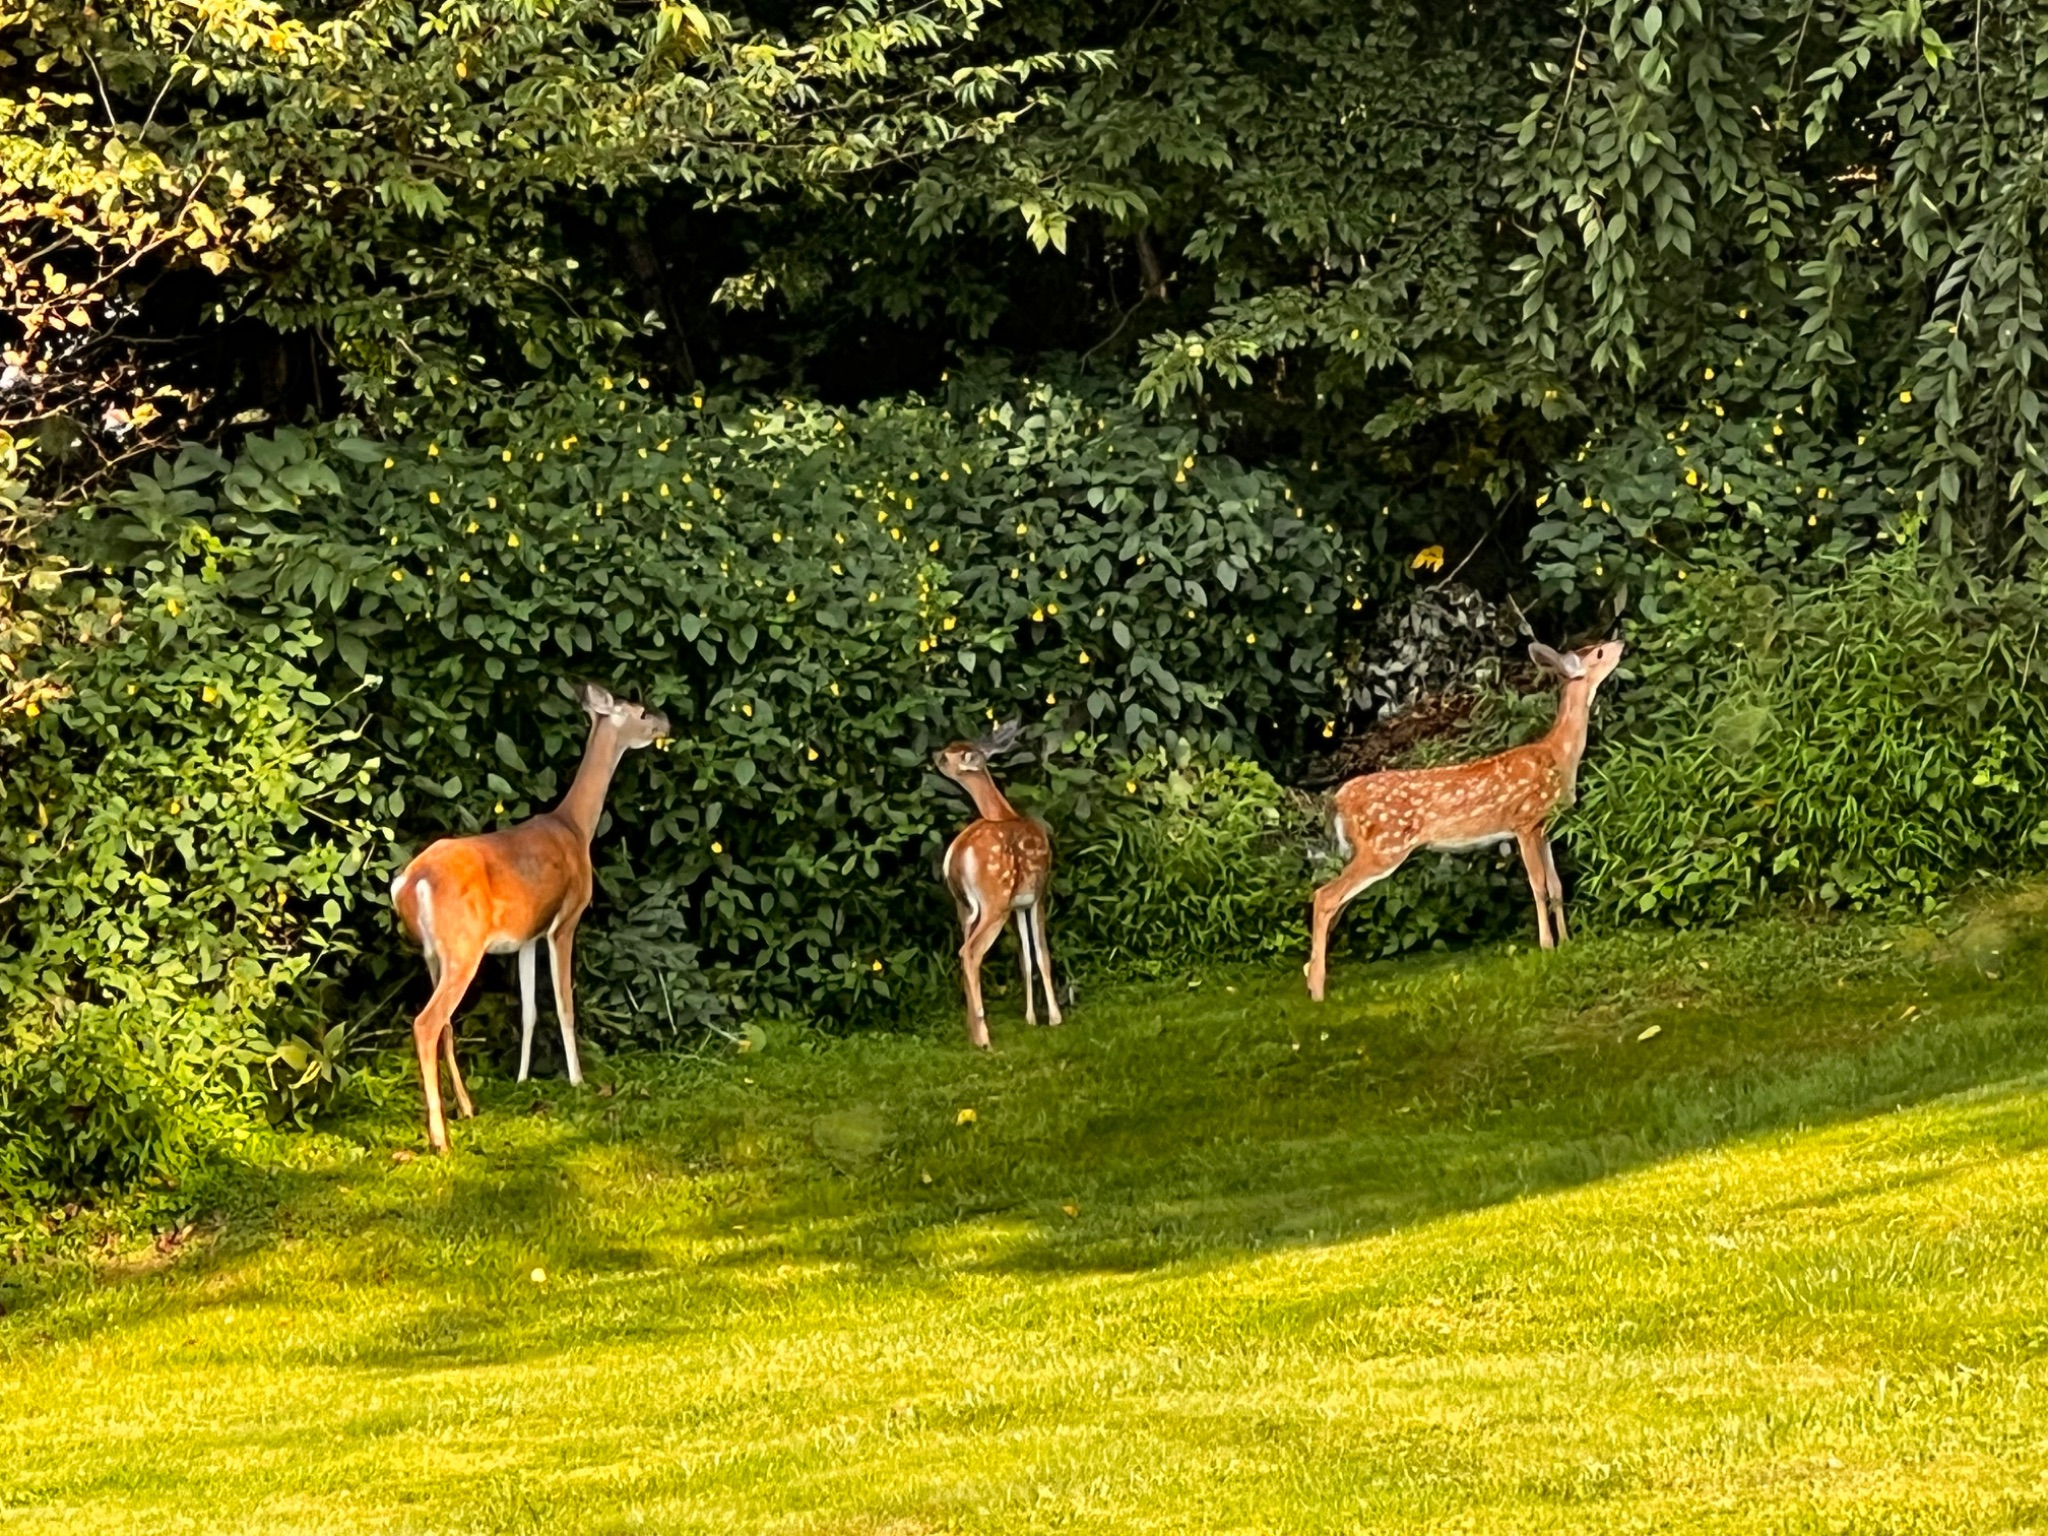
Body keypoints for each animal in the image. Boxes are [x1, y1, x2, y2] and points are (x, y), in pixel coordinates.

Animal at [387, 684, 667, 1155]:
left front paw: (521, 1079)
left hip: (434, 956)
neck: (574, 827)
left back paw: (466, 1108)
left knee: (444, 1024)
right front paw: (577, 1080)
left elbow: (530, 1009)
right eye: (642, 712)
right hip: (463, 948)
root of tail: (411, 880)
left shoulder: (527, 936)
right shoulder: (565, 921)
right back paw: (440, 1138)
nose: (666, 723)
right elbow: (565, 1004)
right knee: (426, 1023)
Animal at [929, 720, 1056, 1048]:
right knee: (970, 952)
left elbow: (1026, 958)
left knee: (963, 950)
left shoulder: (1019, 904)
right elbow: (1042, 954)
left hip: (965, 906)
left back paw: (972, 1032)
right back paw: (984, 1038)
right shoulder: (1039, 894)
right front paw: (1054, 1018)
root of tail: (959, 852)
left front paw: (1031, 1018)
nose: (933, 754)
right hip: (994, 900)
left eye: (949, 753)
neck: (1004, 812)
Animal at [1302, 634, 1622, 999]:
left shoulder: (1546, 826)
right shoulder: (1525, 821)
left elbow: (1556, 886)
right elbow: (1538, 886)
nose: (1621, 641)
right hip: (1384, 847)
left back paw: (1311, 976)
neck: (1558, 755)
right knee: (1324, 896)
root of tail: (1338, 799)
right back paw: (1317, 991)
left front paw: (1566, 941)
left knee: (1333, 901)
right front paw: (1546, 946)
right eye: (1600, 652)